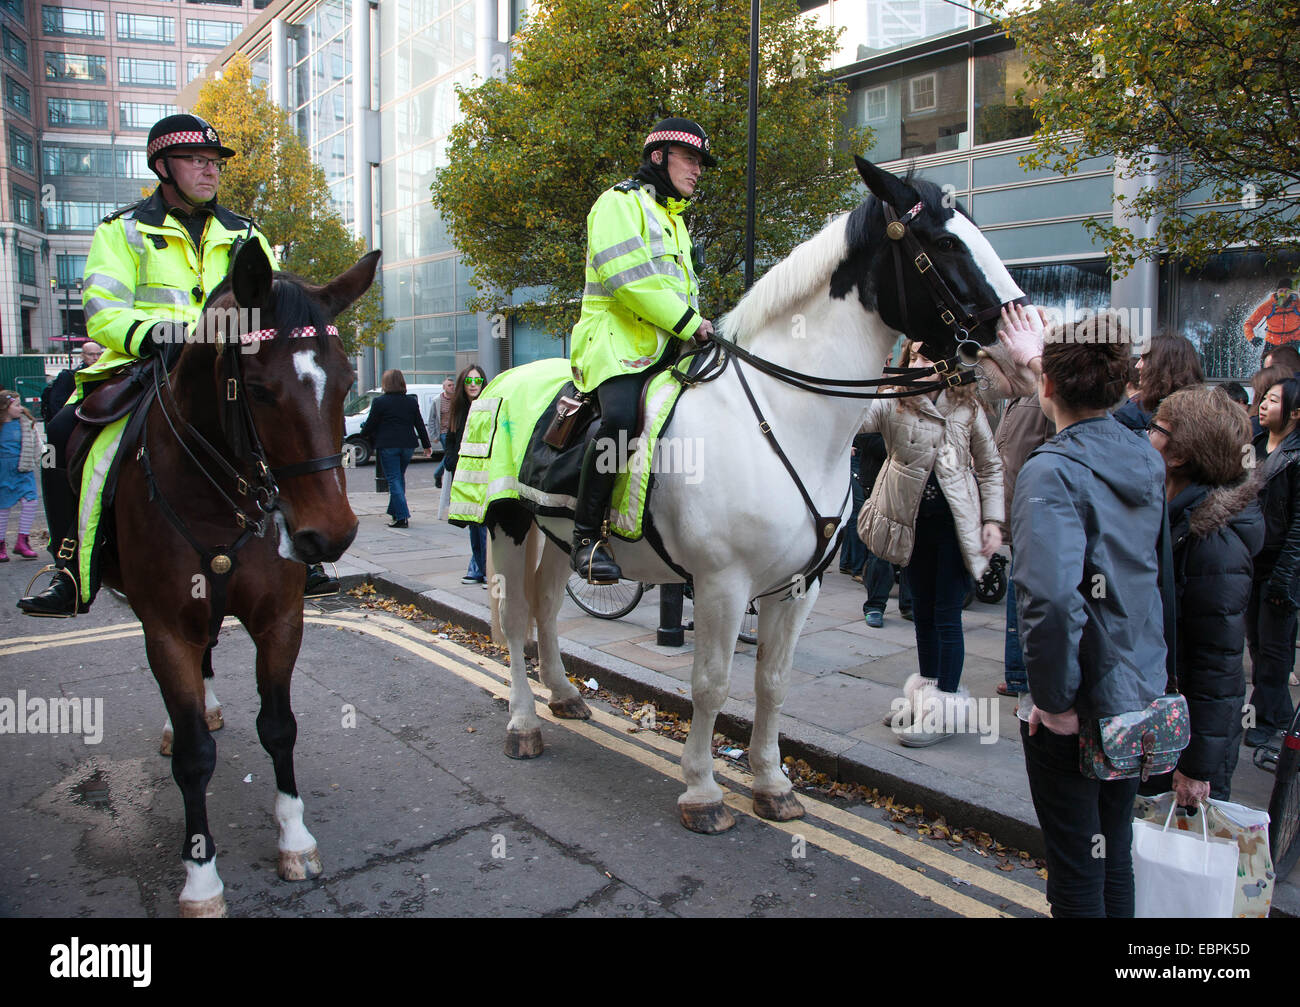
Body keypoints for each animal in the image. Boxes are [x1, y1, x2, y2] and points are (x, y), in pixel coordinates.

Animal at [99, 239, 379, 916]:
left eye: (348, 384)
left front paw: (295, 838)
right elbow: (195, 758)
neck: (219, 498)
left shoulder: (280, 618)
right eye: (257, 389)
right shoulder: (165, 627)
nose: (330, 536)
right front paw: (201, 878)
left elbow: (279, 728)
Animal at [481, 157, 1031, 834]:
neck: (782, 413)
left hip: (558, 534)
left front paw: (772, 784)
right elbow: (712, 683)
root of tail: (503, 379)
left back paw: (562, 695)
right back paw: (523, 721)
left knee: (547, 608)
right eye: (947, 244)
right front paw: (703, 790)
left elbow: (773, 681)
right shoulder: (723, 582)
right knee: (513, 618)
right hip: (508, 523)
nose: (1023, 339)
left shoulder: (799, 584)